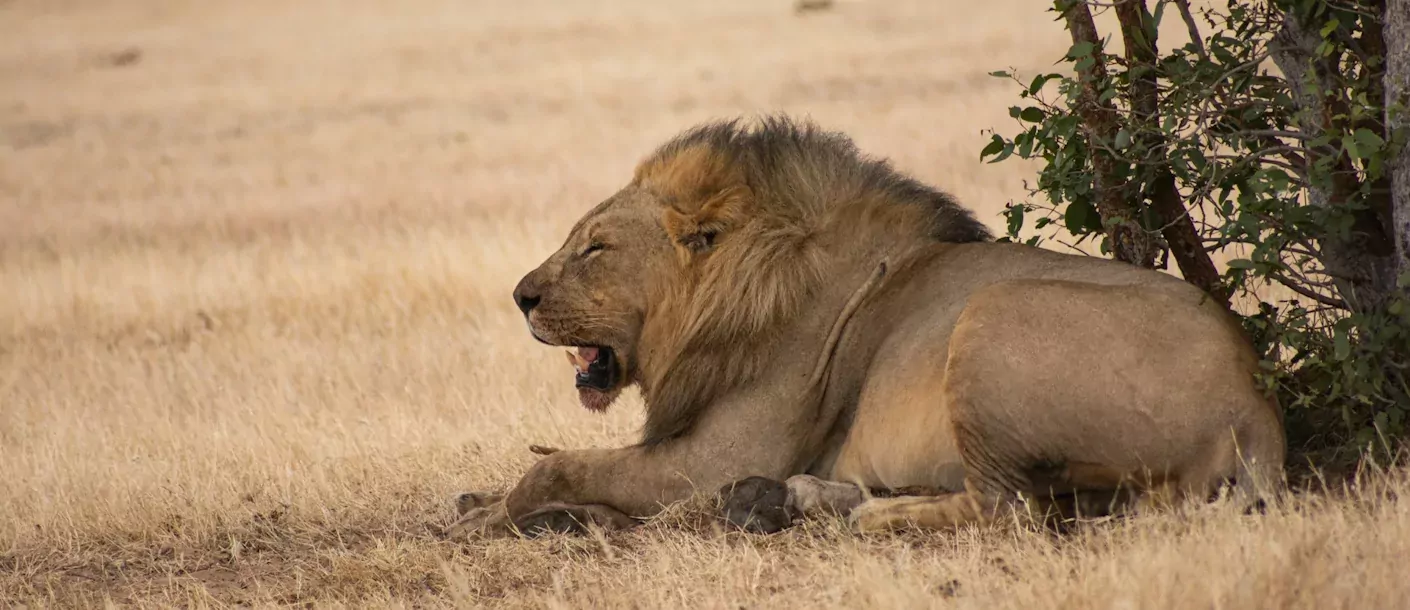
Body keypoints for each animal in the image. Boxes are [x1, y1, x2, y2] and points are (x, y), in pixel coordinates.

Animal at [442, 116, 1291, 535]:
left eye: (595, 247)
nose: (519, 297)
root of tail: (1256, 403)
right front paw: (487, 506)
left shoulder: (716, 457)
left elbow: (553, 467)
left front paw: (486, 519)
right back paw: (804, 500)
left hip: (990, 315)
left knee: (1007, 512)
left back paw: (853, 512)